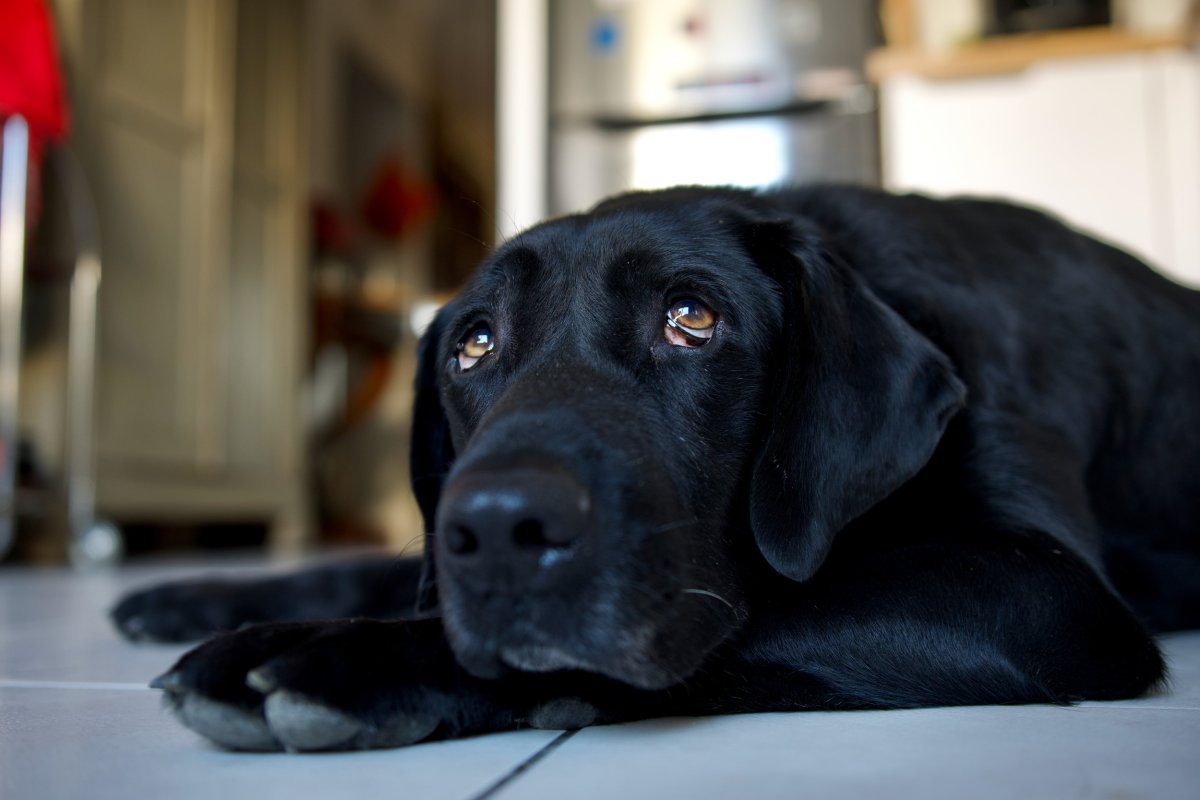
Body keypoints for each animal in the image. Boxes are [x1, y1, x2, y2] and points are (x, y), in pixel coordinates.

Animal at [112, 185, 1200, 753]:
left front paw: (342, 659)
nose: (497, 528)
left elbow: (745, 614)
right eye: (472, 343)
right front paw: (199, 596)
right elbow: (376, 567)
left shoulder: (1042, 590)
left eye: (693, 318)